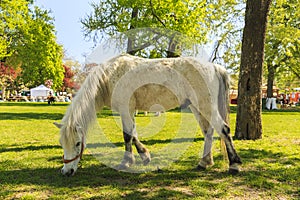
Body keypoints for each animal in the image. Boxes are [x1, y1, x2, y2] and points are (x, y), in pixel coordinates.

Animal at [54, 54, 241, 176]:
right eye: (62, 144)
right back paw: (204, 162)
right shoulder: (129, 111)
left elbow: (127, 135)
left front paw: (126, 162)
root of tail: (213, 67)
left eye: (78, 143)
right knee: (208, 132)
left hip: (205, 106)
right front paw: (144, 155)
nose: (66, 171)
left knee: (223, 129)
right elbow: (134, 134)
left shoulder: (125, 109)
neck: (108, 77)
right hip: (197, 107)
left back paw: (234, 164)